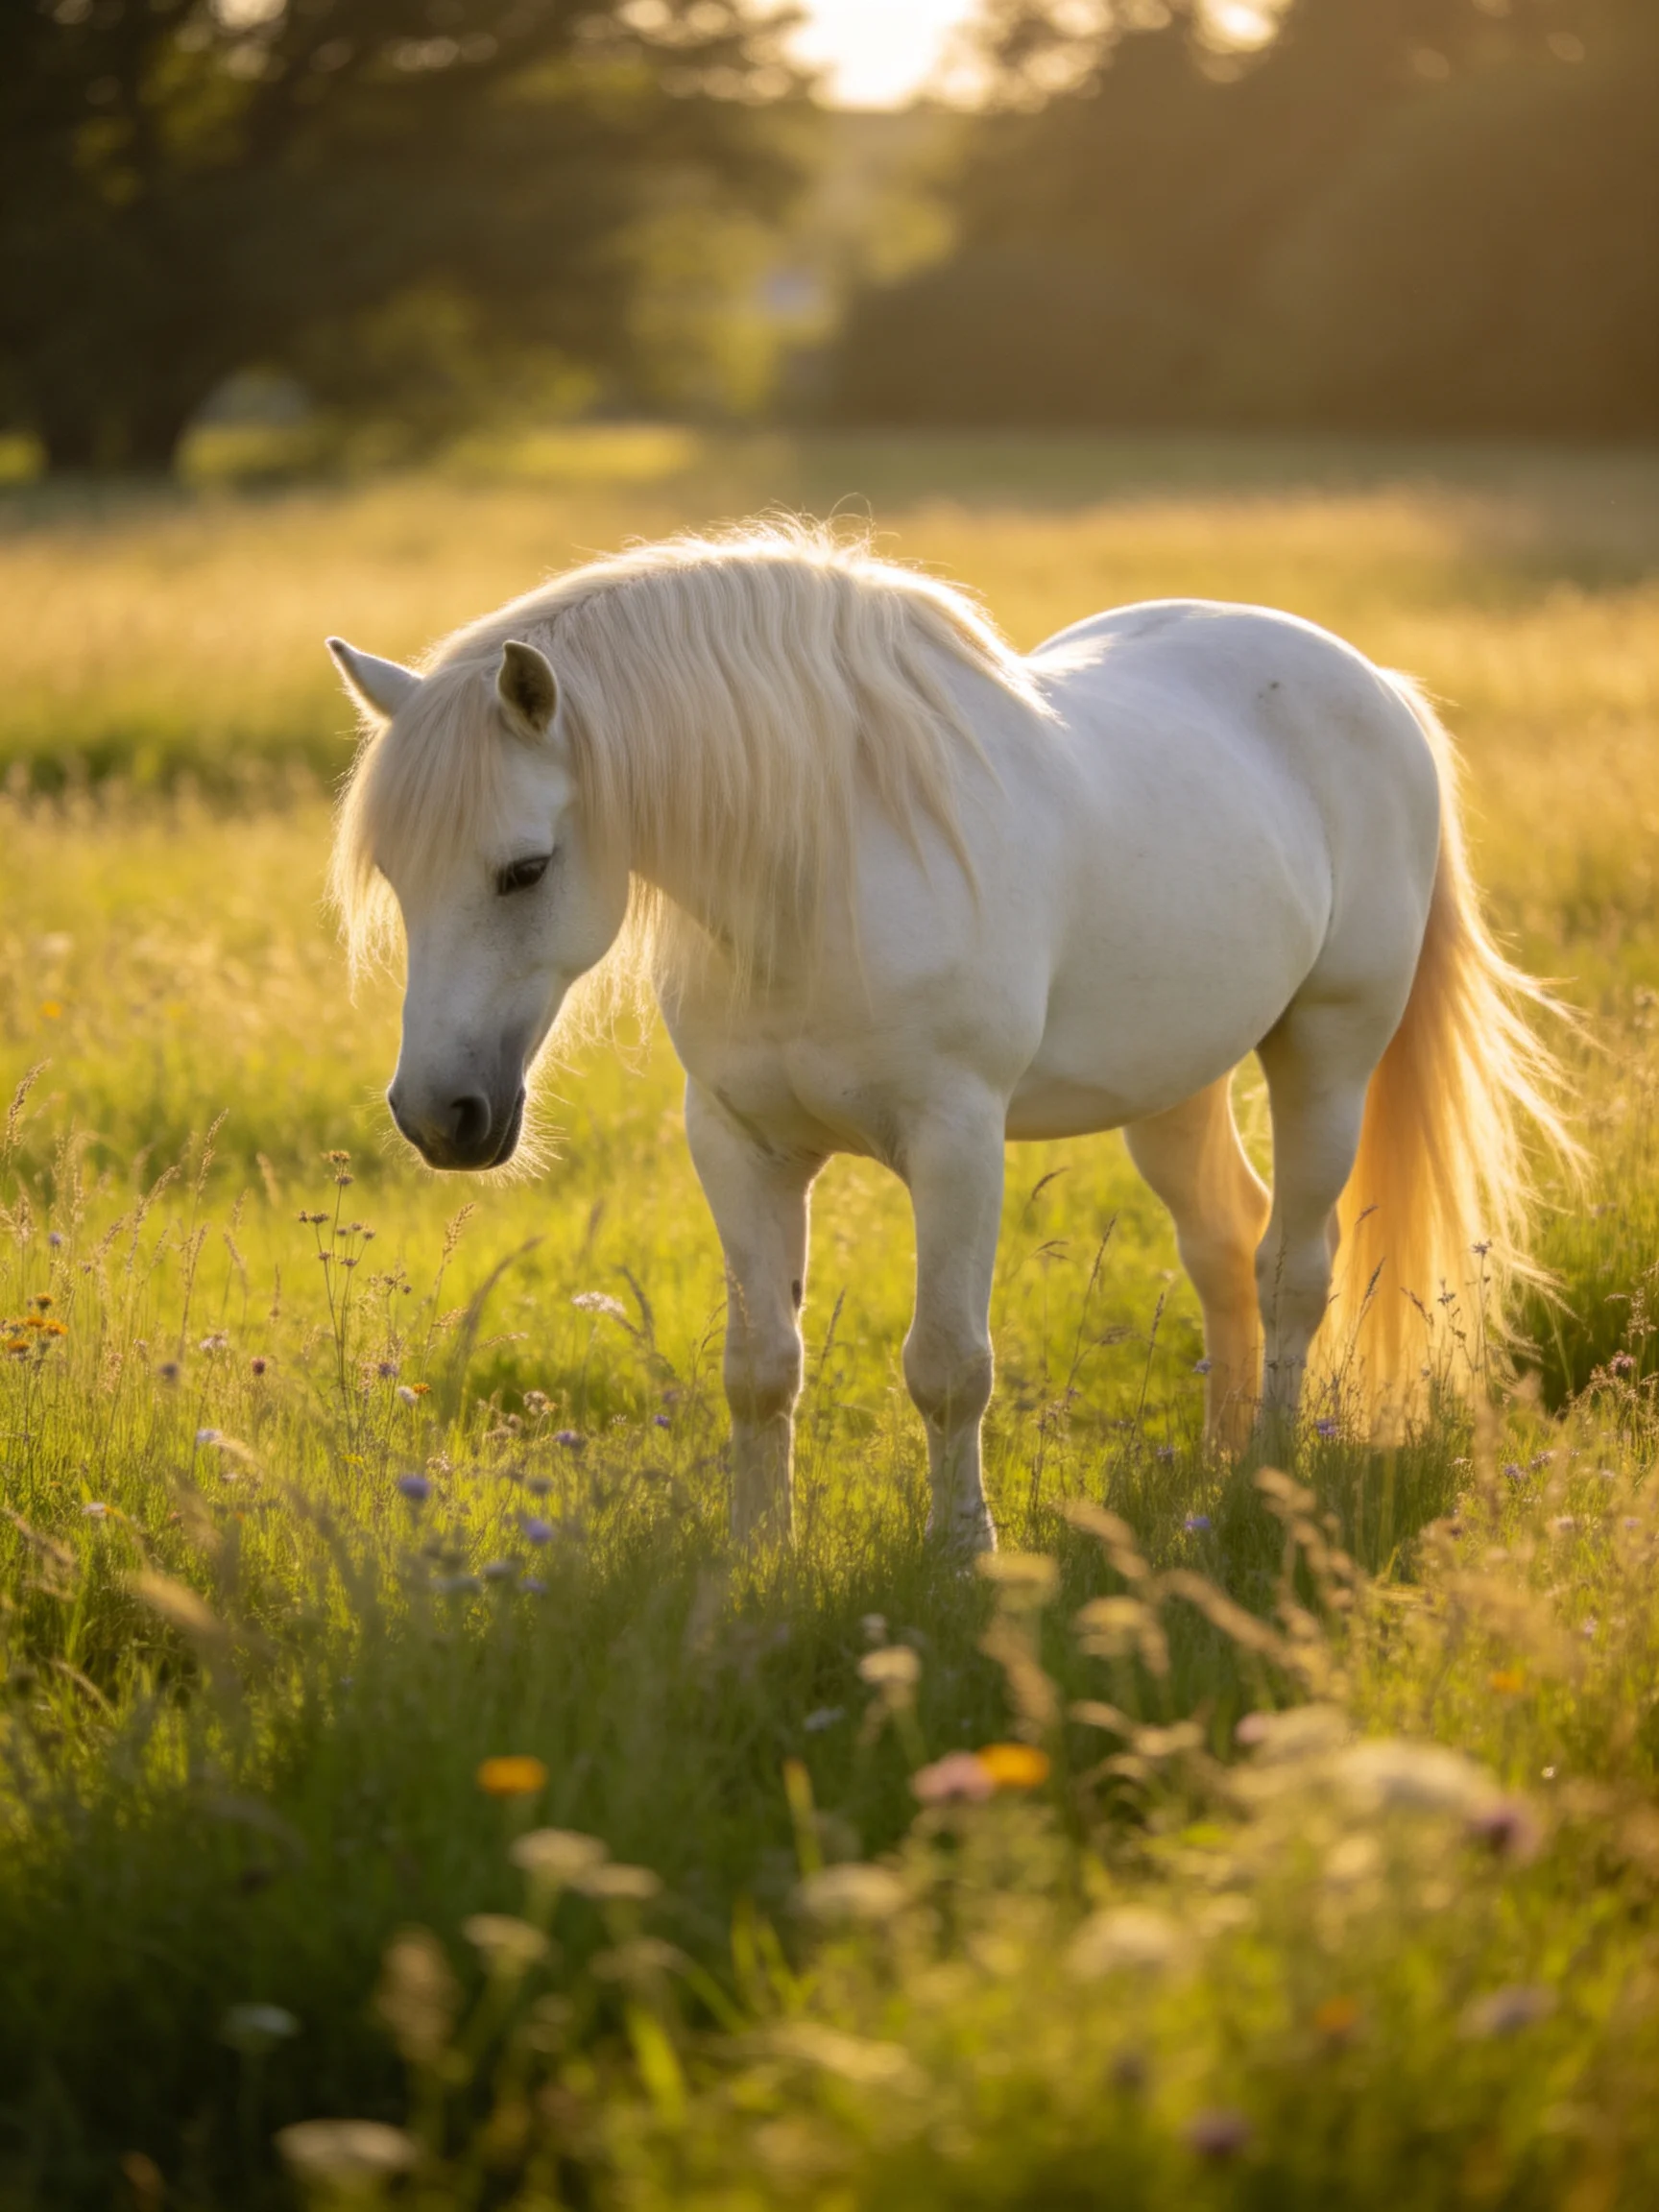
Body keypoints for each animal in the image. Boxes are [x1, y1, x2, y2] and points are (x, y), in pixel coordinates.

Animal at [326, 520, 1570, 1553]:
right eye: (396, 874)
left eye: (525, 867)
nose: (438, 1115)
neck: (820, 872)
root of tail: (1375, 685)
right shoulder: (738, 1145)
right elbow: (759, 1371)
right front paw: (754, 1557)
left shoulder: (958, 1143)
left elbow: (948, 1369)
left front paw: (962, 1554)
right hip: (1175, 1086)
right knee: (1225, 1245)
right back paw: (1217, 1470)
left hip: (1328, 1053)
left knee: (1294, 1269)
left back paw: (1266, 1476)